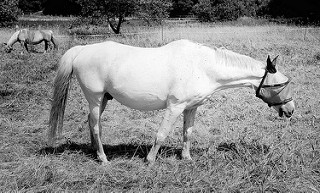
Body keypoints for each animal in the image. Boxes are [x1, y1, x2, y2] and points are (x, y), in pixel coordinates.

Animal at [48, 40, 296, 165]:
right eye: (280, 84)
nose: (291, 110)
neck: (203, 66)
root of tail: (82, 50)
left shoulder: (191, 107)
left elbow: (187, 133)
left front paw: (186, 157)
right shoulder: (175, 107)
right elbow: (161, 134)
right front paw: (149, 160)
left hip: (103, 100)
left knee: (93, 123)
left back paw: (95, 152)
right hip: (95, 97)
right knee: (96, 126)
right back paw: (103, 158)